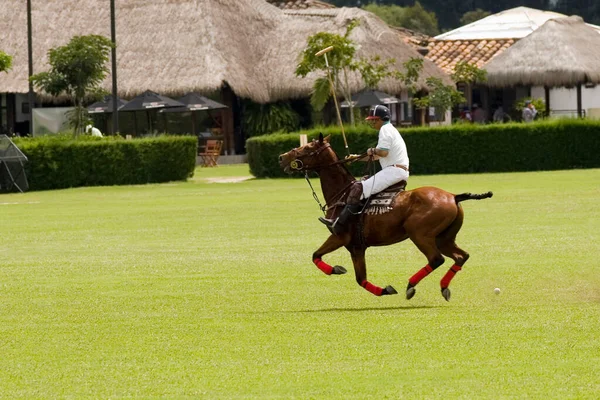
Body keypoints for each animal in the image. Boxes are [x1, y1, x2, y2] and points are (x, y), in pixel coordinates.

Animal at [278, 134, 492, 300]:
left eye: (307, 147)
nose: (281, 157)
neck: (342, 193)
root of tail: (453, 196)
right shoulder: (357, 246)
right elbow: (360, 279)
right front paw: (385, 290)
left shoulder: (339, 236)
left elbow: (315, 255)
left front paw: (336, 269)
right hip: (444, 237)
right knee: (461, 256)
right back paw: (444, 287)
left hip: (419, 234)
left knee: (436, 259)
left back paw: (411, 285)